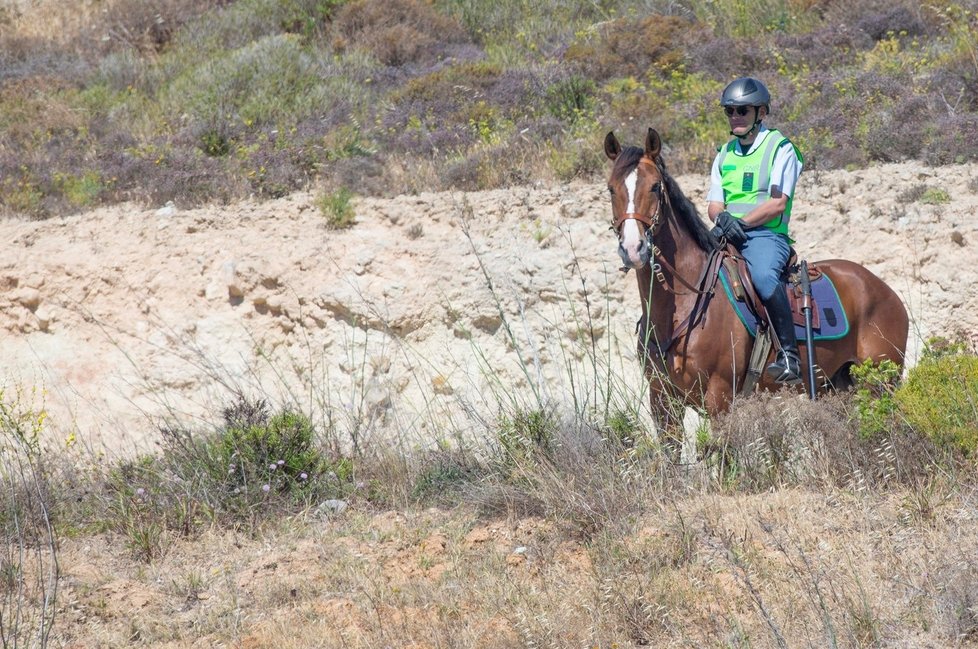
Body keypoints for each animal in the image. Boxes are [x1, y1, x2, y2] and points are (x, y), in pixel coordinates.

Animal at [604, 130, 908, 426]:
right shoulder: (662, 402)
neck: (686, 303)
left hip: (880, 384)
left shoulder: (720, 399)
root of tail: (885, 289)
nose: (633, 248)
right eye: (610, 189)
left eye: (656, 186)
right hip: (835, 385)